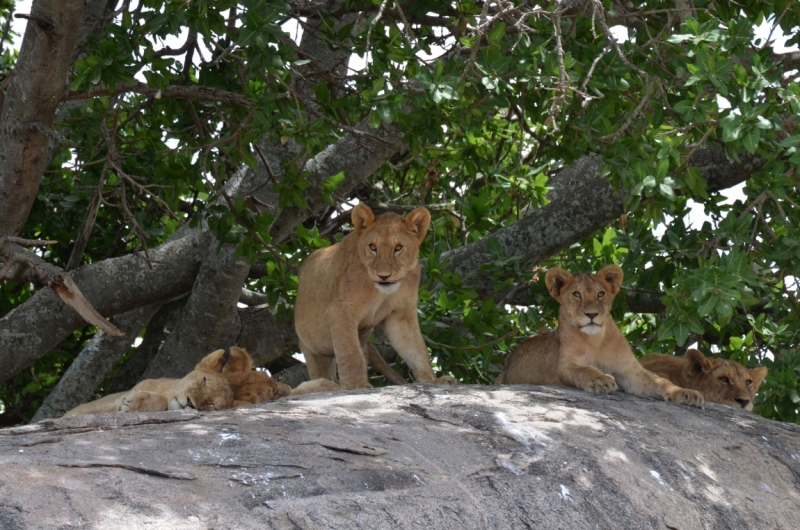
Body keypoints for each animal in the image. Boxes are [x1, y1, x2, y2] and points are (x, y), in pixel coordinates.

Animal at [292, 203, 456, 392]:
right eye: (372, 247)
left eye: (398, 248)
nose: (383, 276)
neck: (380, 292)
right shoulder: (340, 311)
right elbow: (350, 354)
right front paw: (356, 385)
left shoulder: (401, 315)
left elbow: (416, 348)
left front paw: (432, 380)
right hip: (311, 348)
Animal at [496, 264, 704, 404]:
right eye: (577, 294)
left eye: (601, 294)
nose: (591, 314)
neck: (595, 340)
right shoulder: (565, 367)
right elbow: (586, 370)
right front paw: (601, 380)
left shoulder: (630, 371)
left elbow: (661, 380)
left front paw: (686, 393)